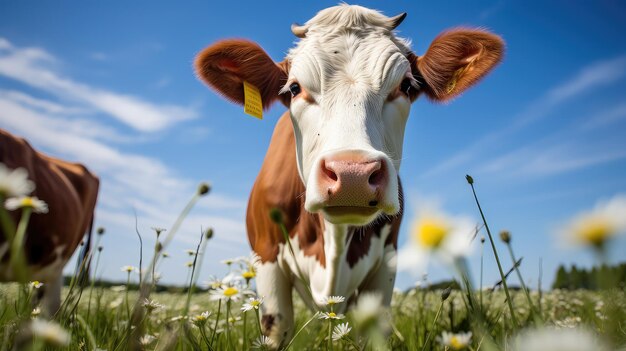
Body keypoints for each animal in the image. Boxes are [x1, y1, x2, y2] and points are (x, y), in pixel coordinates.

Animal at [195, 4, 502, 342]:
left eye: (406, 86)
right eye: (294, 88)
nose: (352, 174)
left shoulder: (386, 265)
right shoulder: (266, 258)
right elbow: (277, 327)